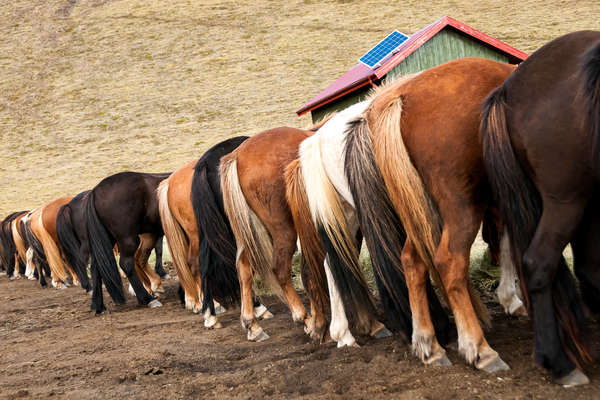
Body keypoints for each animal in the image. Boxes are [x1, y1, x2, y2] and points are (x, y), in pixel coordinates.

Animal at [344, 58, 516, 372]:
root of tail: (401, 97)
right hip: (459, 207)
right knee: (449, 262)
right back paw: (479, 349)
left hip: (421, 212)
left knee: (412, 261)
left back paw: (427, 343)